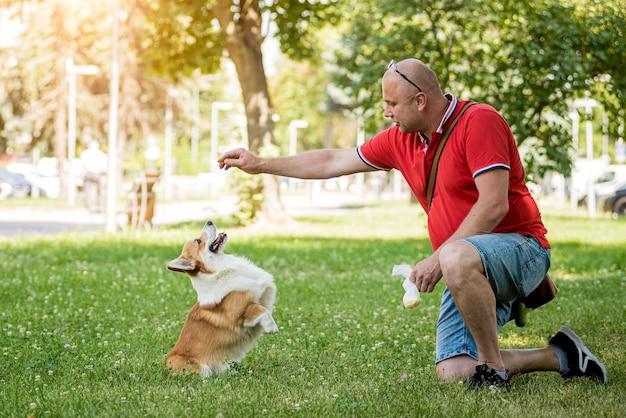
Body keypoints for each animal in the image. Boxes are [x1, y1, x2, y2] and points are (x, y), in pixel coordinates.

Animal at [165, 220, 276, 378]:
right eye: (198, 241)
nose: (209, 221)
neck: (219, 270)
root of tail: (166, 363)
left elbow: (265, 308)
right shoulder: (239, 313)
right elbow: (261, 310)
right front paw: (272, 327)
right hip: (199, 367)